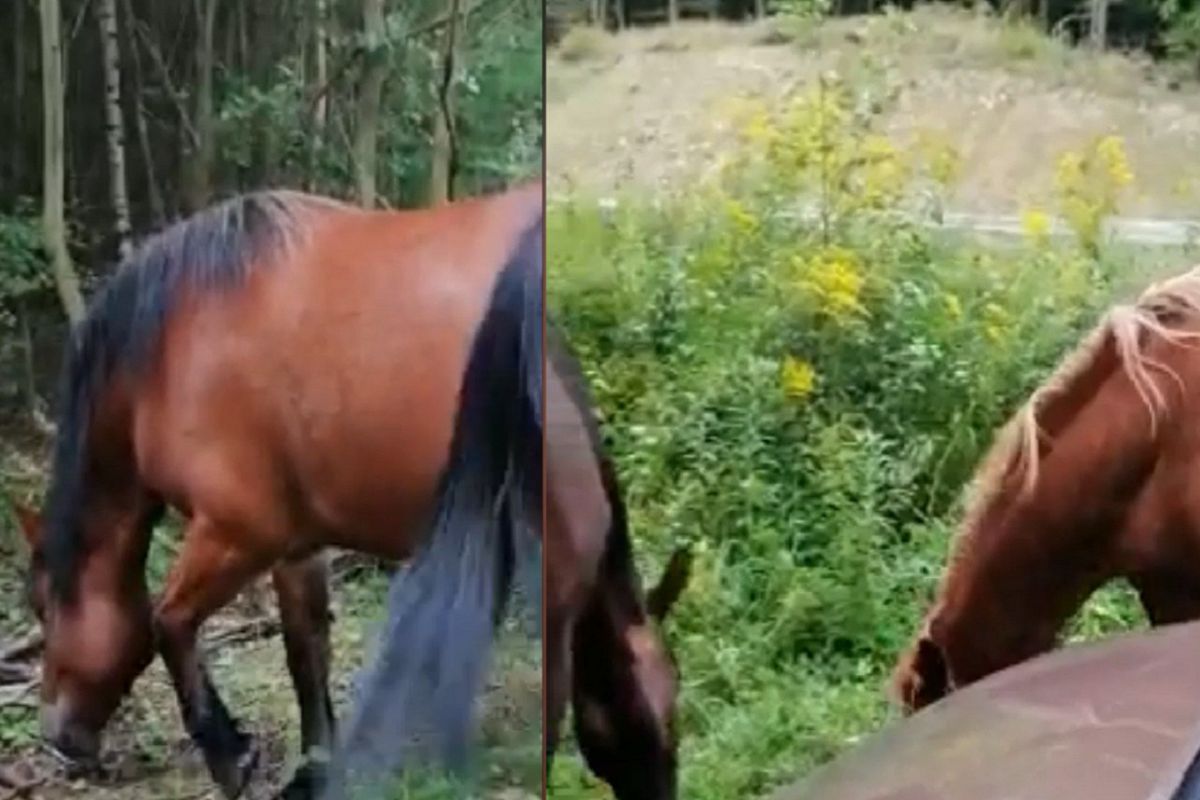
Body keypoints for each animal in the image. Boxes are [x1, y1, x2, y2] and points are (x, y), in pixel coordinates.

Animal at [10, 183, 540, 800]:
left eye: (44, 604)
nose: (57, 735)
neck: (176, 342)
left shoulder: (239, 532)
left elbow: (168, 622)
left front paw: (230, 757)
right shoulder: (297, 545)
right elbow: (304, 650)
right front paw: (313, 768)